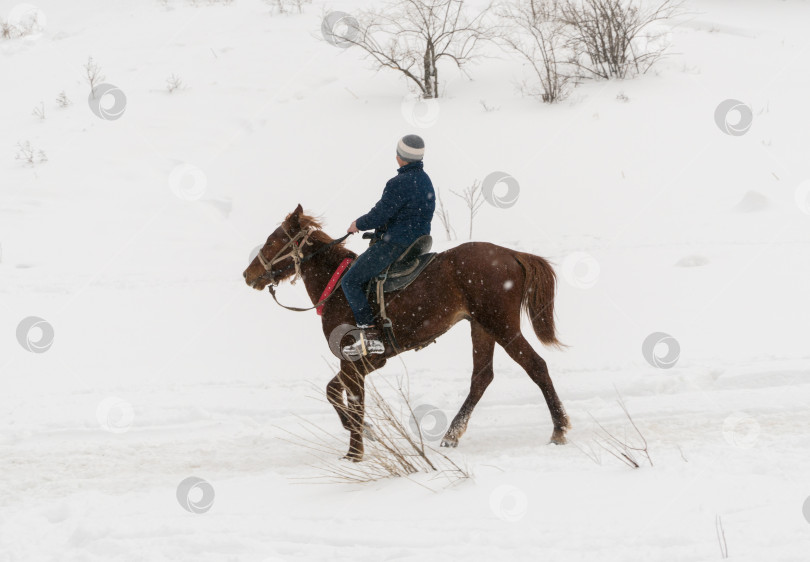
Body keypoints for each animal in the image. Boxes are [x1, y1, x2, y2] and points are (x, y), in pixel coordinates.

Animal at [240, 205, 568, 460]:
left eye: (274, 240)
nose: (247, 274)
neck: (336, 285)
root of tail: (512, 254)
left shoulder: (355, 360)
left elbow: (351, 400)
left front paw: (354, 453)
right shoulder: (367, 362)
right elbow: (333, 392)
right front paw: (366, 434)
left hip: (501, 325)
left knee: (536, 366)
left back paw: (559, 429)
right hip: (481, 327)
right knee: (481, 377)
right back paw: (452, 434)